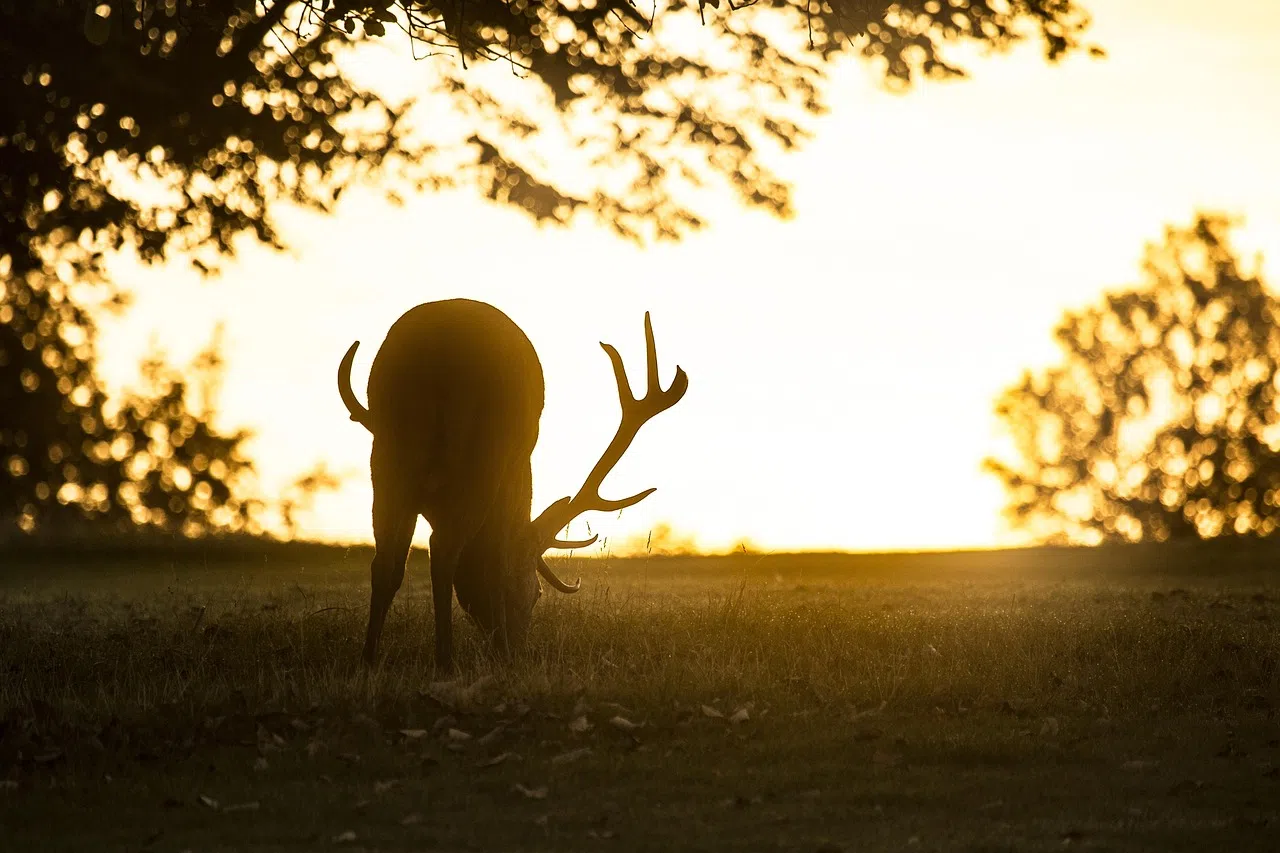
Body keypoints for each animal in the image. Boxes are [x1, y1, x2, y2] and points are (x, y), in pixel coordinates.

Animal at [336, 298, 687, 673]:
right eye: (536, 593)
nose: (519, 649)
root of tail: (438, 344)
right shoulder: (509, 483)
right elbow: (496, 562)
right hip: (483, 455)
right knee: (444, 550)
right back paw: (446, 661)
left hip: (389, 457)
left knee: (386, 562)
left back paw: (368, 660)